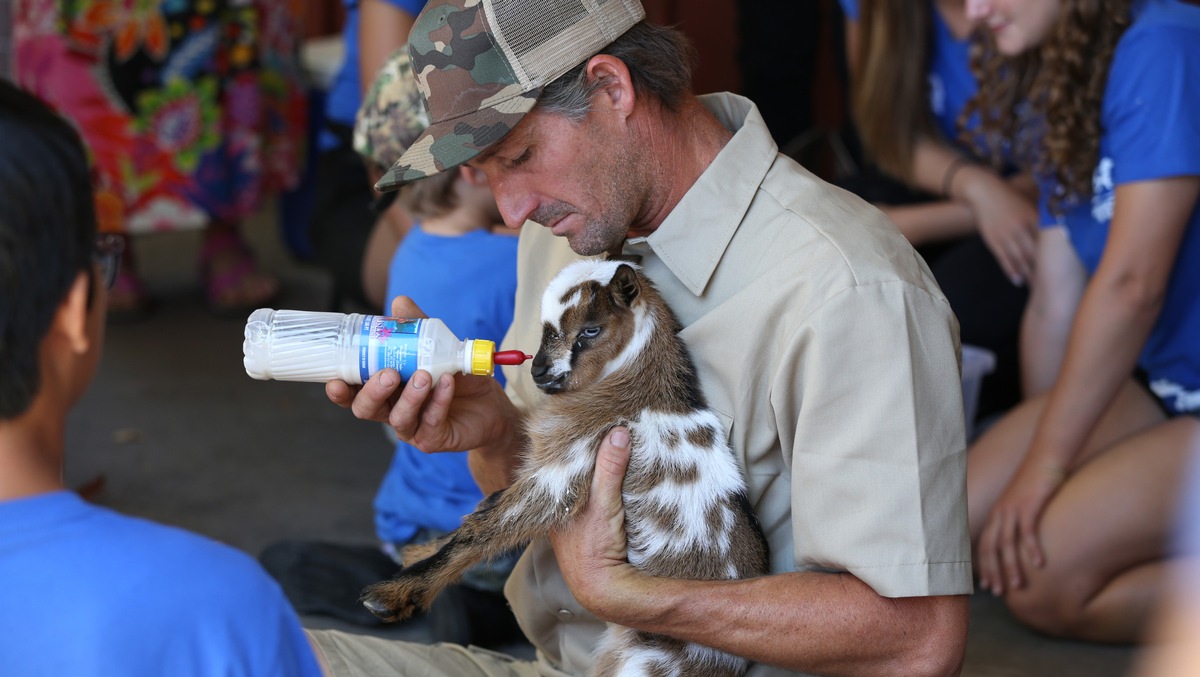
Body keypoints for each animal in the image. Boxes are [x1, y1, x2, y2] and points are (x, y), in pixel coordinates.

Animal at [360, 260, 768, 677]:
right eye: (544, 329)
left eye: (590, 330)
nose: (539, 370)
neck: (636, 387)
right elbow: (487, 508)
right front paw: (418, 552)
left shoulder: (565, 471)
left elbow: (485, 527)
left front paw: (392, 595)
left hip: (645, 665)